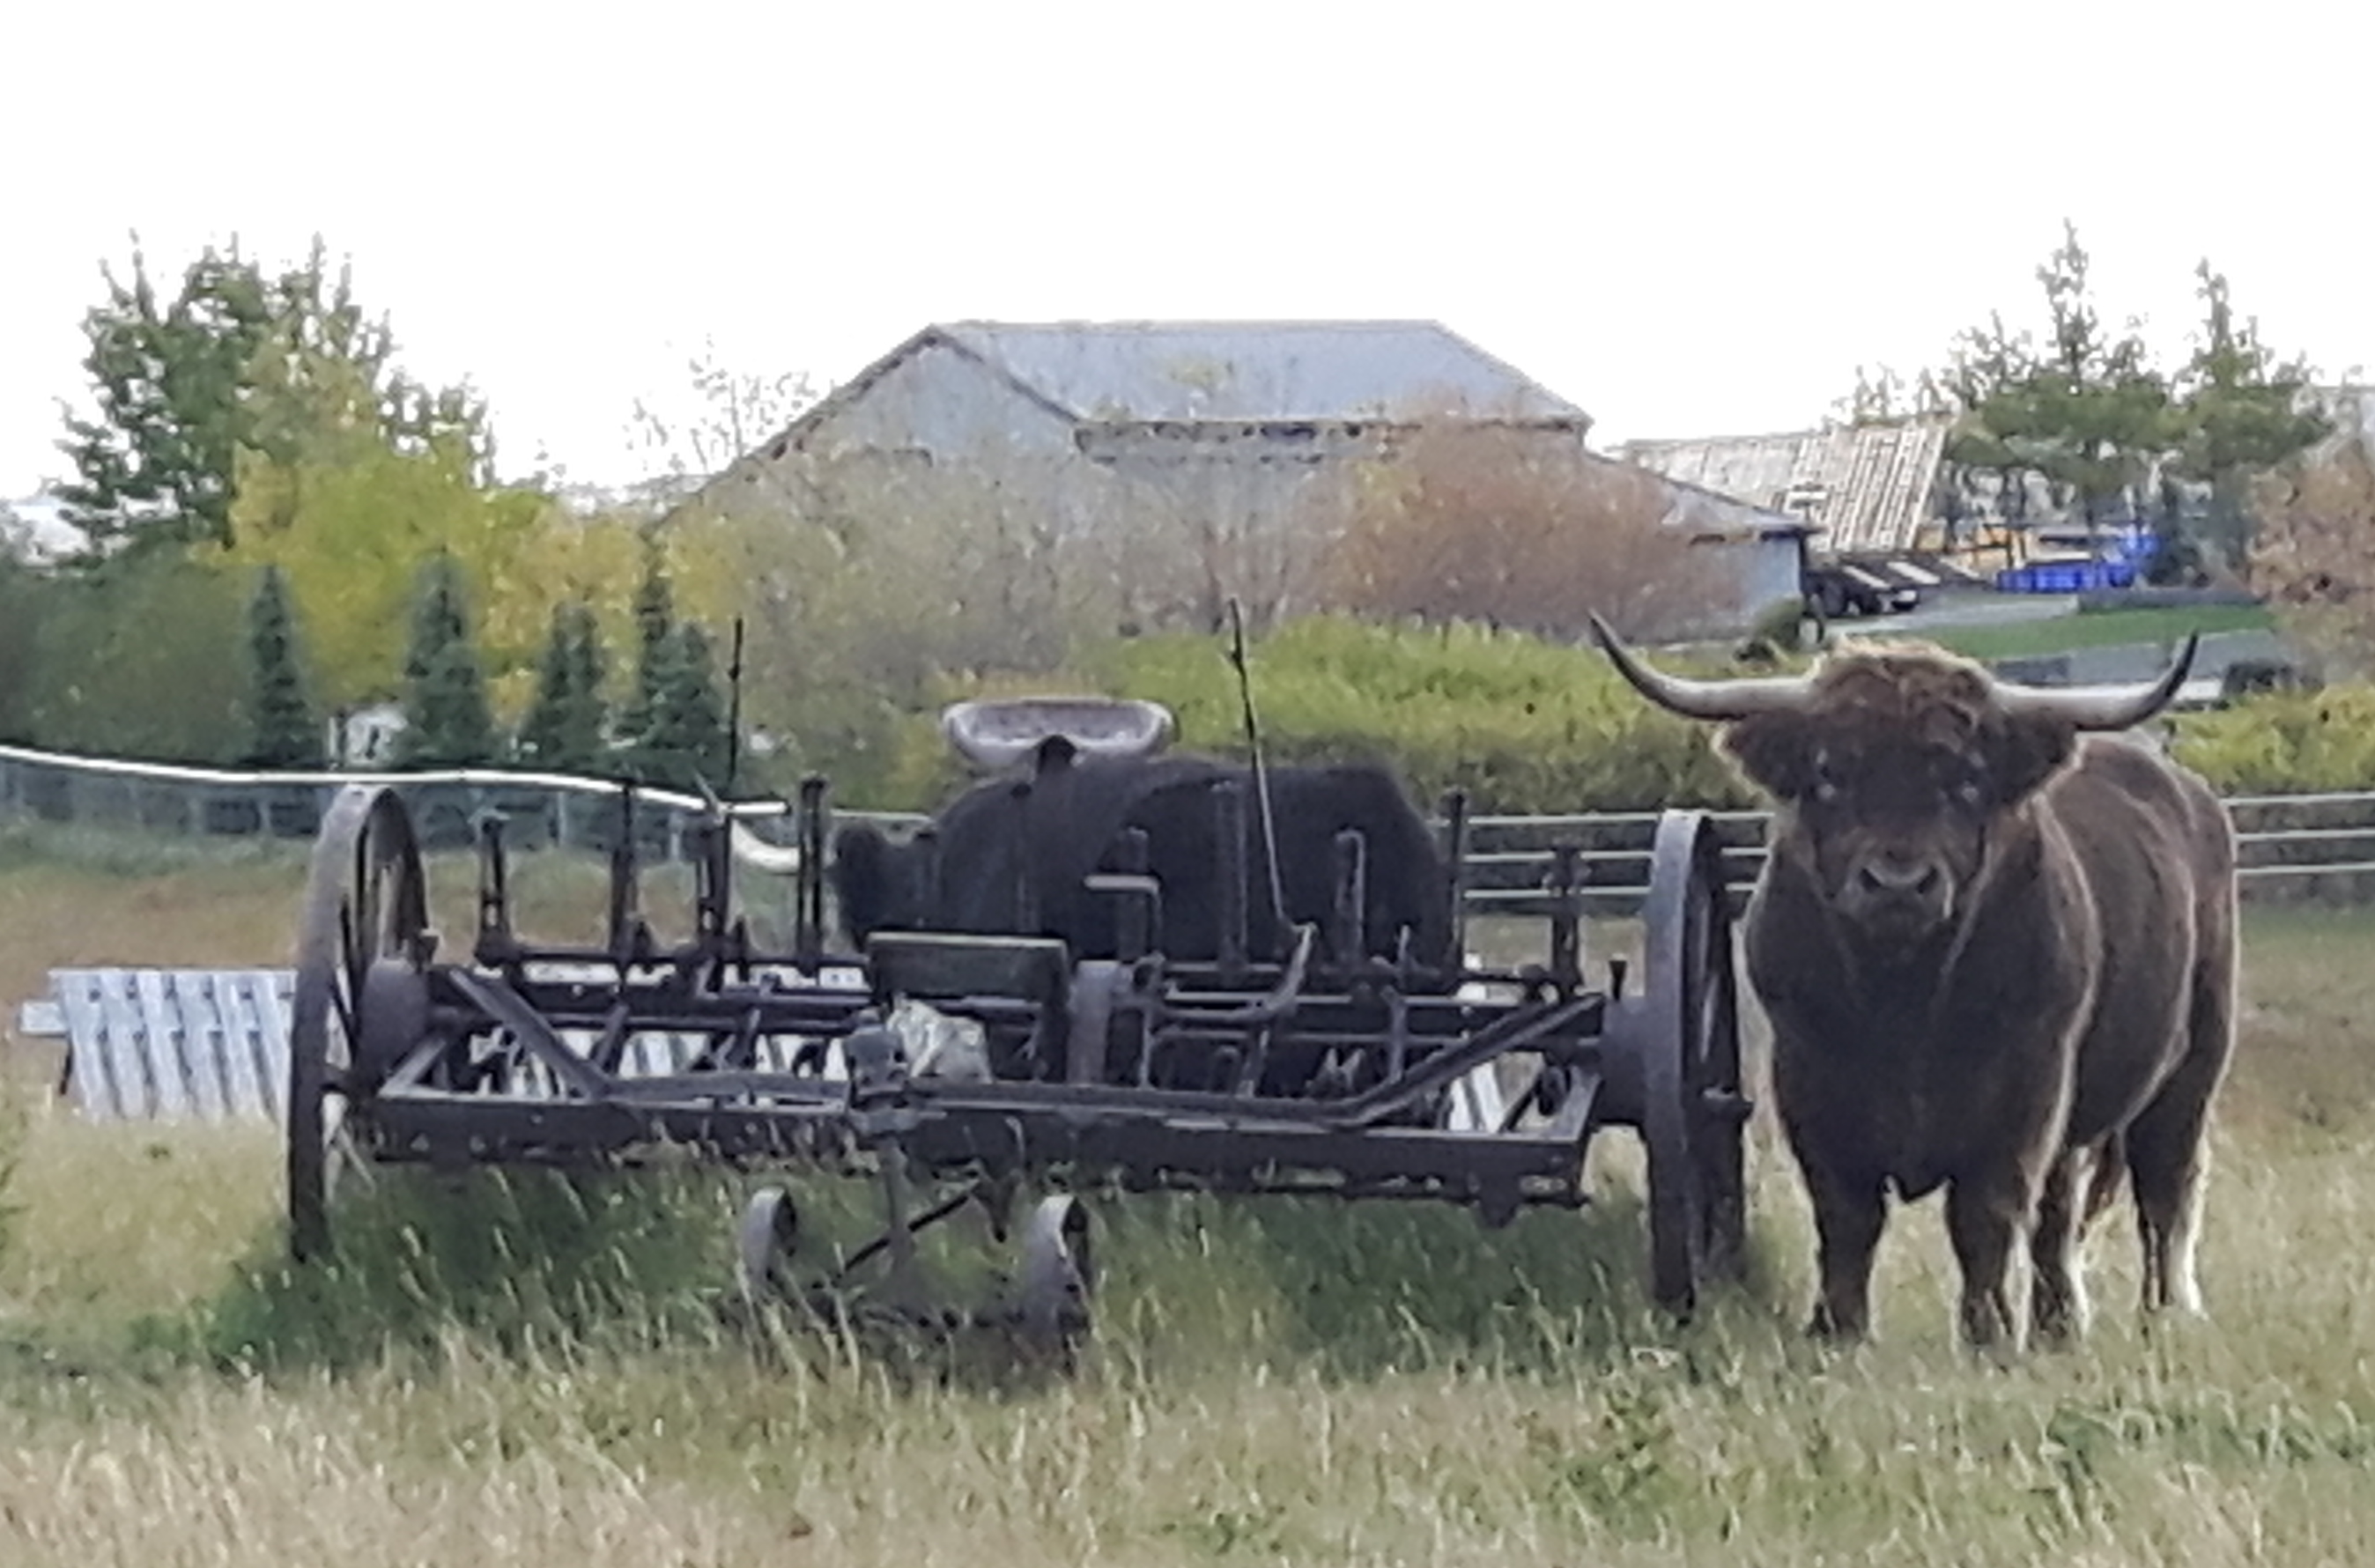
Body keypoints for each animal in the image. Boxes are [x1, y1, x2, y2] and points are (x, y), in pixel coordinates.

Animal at [1592, 616, 2238, 1352]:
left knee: (2163, 1192)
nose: (1898, 884)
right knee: (2062, 1215)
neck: (1903, 1003)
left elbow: (1985, 1217)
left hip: (2191, 1068)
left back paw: (2163, 1315)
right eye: (1830, 773)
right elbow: (1847, 1218)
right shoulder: (1810, 1084)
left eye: (1965, 779)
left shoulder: (2026, 1089)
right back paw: (2059, 1327)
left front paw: (1988, 1335)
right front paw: (1837, 1330)